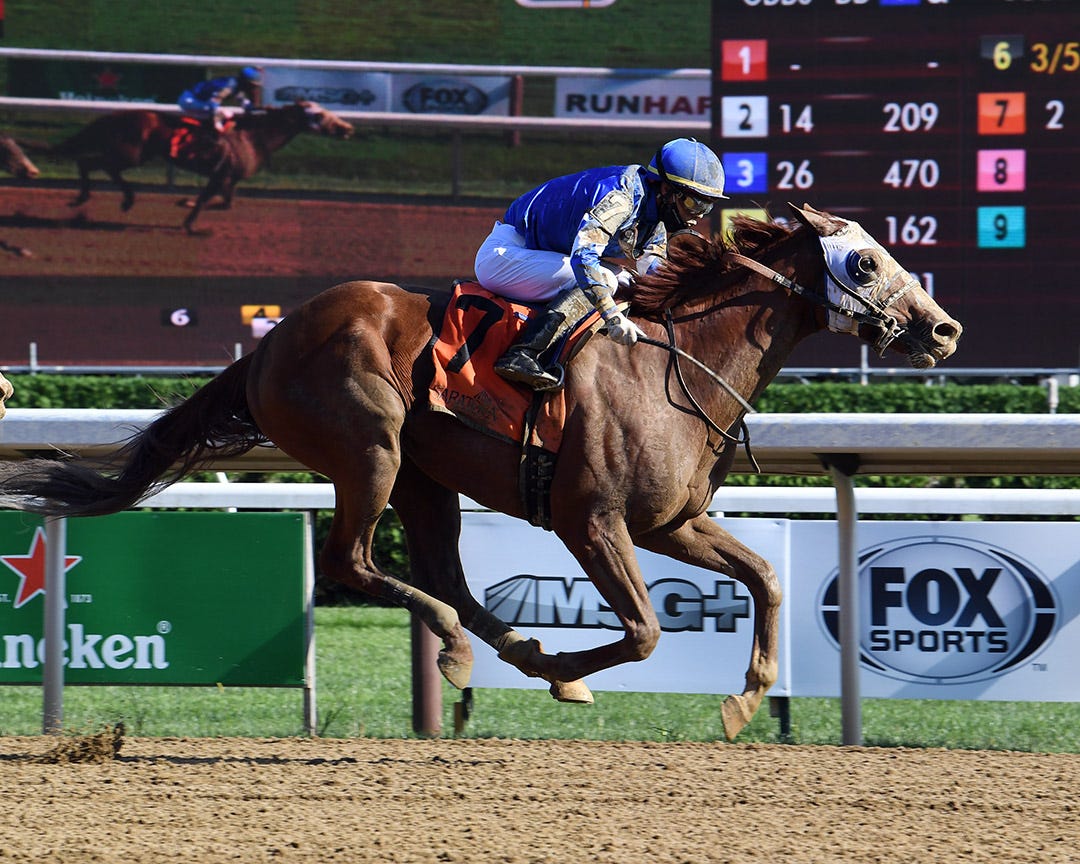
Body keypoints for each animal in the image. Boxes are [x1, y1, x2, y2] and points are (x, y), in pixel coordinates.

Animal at [0, 204, 962, 739]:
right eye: (865, 260)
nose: (944, 329)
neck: (671, 363)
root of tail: (267, 344)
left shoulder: (668, 522)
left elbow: (763, 576)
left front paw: (744, 700)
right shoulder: (592, 520)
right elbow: (646, 630)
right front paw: (572, 665)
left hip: (425, 478)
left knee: (445, 575)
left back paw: (516, 649)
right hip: (371, 447)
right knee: (357, 562)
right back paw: (477, 650)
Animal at [50, 101, 353, 233]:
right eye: (320, 114)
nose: (347, 128)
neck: (253, 137)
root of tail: (113, 115)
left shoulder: (227, 177)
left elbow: (222, 203)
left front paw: (187, 209)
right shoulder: (222, 175)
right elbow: (209, 200)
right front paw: (188, 214)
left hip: (132, 154)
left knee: (93, 163)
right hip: (129, 154)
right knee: (93, 163)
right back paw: (109, 198)